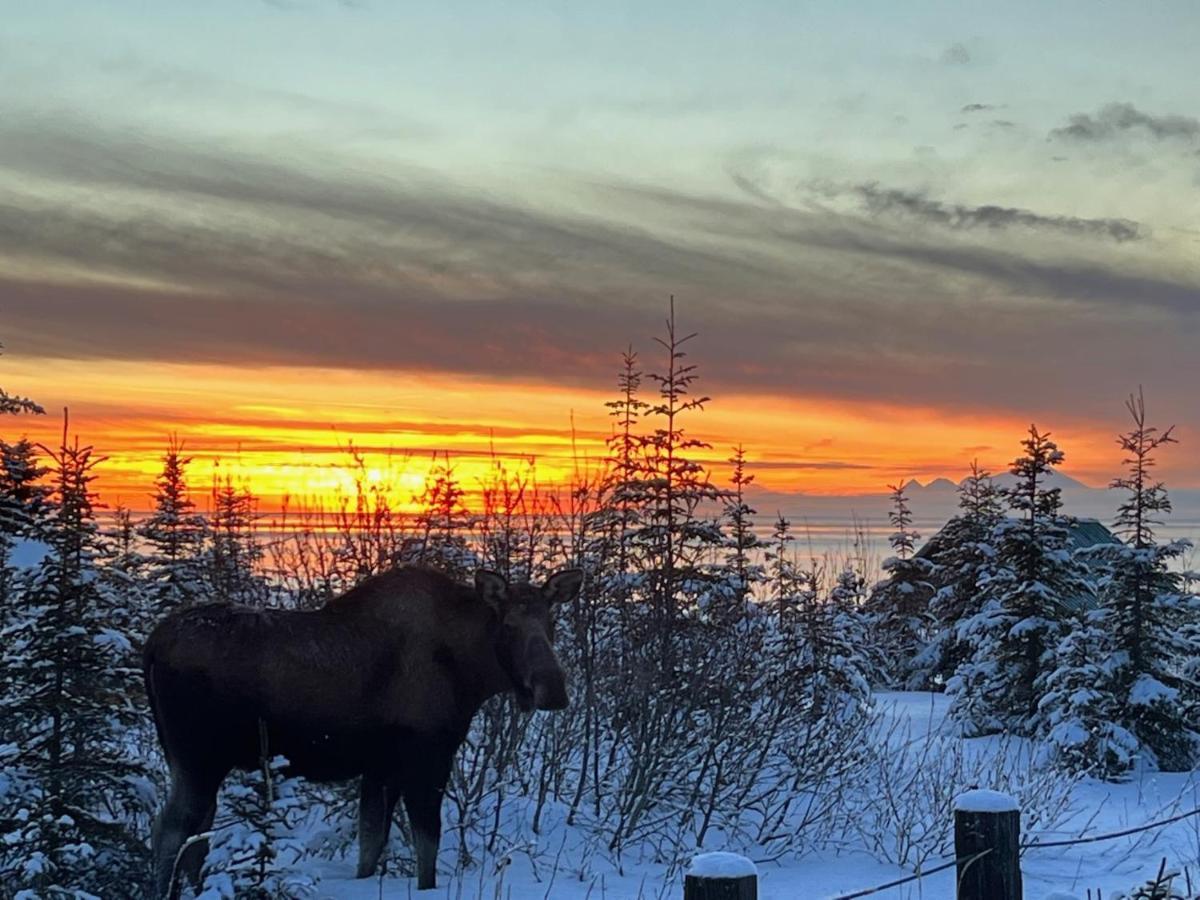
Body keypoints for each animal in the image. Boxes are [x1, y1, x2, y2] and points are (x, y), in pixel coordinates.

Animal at [142, 566, 583, 897]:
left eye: (551, 621)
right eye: (507, 625)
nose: (553, 689)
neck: (470, 673)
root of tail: (151, 643)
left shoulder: (381, 768)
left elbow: (370, 845)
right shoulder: (428, 756)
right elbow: (427, 848)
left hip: (198, 762)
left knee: (197, 836)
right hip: (197, 758)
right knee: (170, 829)